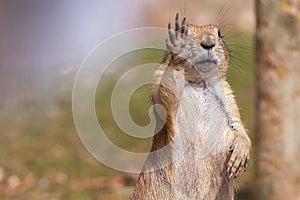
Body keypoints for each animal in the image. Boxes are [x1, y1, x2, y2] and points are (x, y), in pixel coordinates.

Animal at [131, 13, 251, 199]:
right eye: (184, 33)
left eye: (219, 33)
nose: (209, 43)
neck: (199, 83)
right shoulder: (158, 84)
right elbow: (166, 92)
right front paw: (178, 48)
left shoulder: (227, 96)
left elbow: (237, 125)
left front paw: (240, 153)